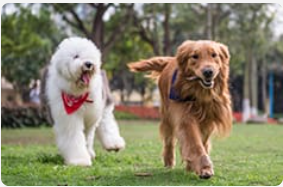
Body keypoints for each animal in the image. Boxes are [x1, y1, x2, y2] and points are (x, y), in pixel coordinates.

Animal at [46, 37, 125, 166]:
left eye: (90, 55)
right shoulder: (68, 117)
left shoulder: (91, 115)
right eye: (76, 56)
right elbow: (74, 136)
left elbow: (88, 136)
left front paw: (86, 155)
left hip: (103, 102)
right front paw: (80, 160)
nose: (88, 64)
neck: (78, 93)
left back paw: (113, 144)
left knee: (106, 120)